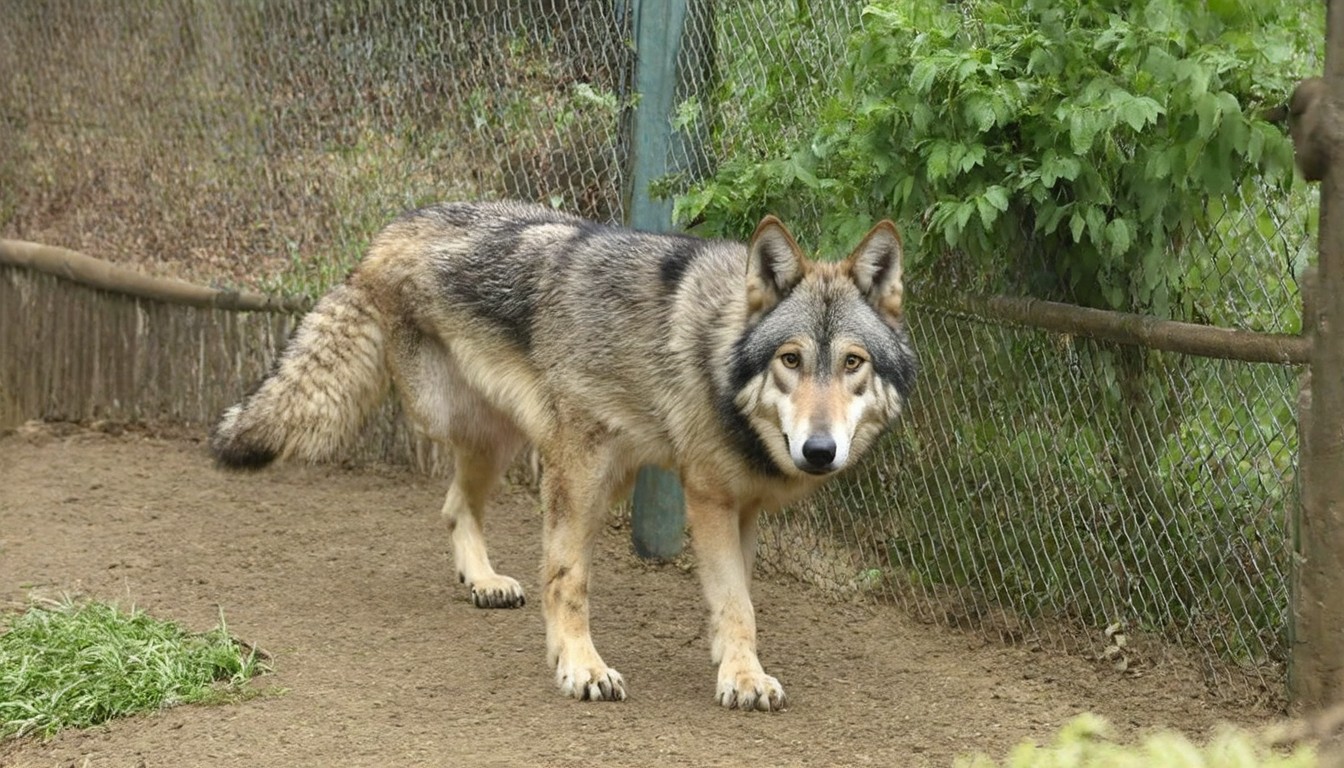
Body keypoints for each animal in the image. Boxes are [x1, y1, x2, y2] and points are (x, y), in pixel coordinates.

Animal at [210, 201, 917, 711]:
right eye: (791, 359)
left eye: (852, 363)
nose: (819, 450)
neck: (713, 358)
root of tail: (385, 236)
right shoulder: (668, 488)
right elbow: (578, 581)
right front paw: (584, 669)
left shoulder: (740, 507)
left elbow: (735, 602)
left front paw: (736, 669)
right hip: (502, 436)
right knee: (466, 507)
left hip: (518, 446)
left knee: (454, 504)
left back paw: (483, 582)